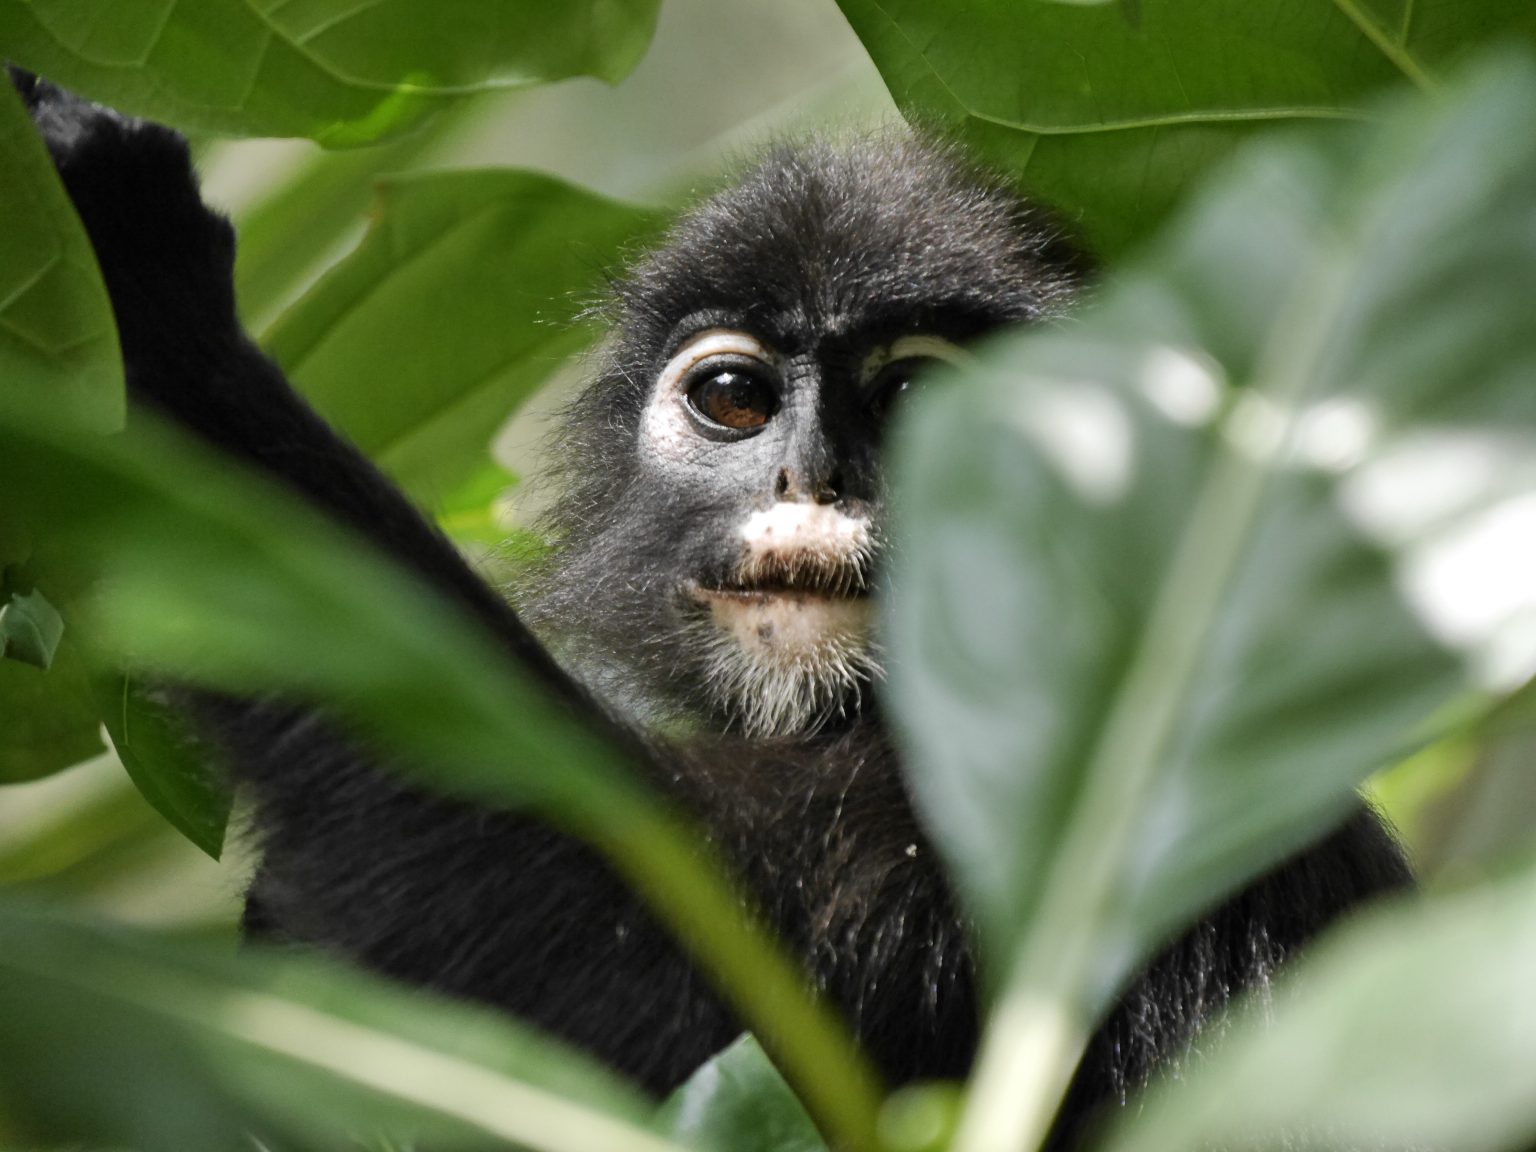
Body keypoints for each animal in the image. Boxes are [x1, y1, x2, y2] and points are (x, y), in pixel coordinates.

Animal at [12, 74, 1406, 1152]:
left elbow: (618, 954)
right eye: (735, 397)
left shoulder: (989, 814)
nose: (811, 478)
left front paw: (145, 274)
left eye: (913, 403)